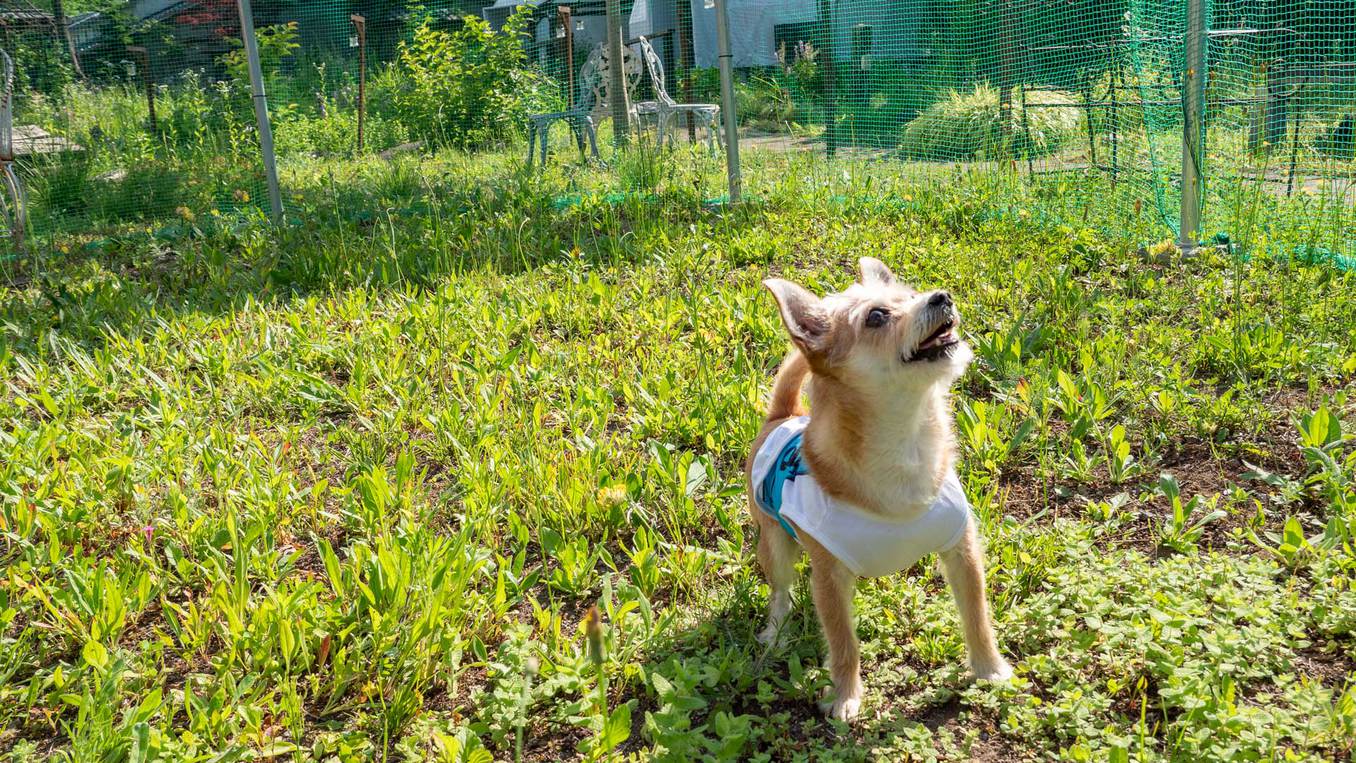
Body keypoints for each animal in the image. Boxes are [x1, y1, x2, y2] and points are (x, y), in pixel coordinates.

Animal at [748, 258, 1014, 720]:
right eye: (876, 316)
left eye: (911, 296)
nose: (942, 296)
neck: (907, 442)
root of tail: (783, 415)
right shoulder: (828, 579)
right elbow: (843, 643)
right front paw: (846, 696)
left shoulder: (962, 551)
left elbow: (977, 615)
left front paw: (989, 668)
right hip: (774, 544)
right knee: (780, 591)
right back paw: (775, 633)